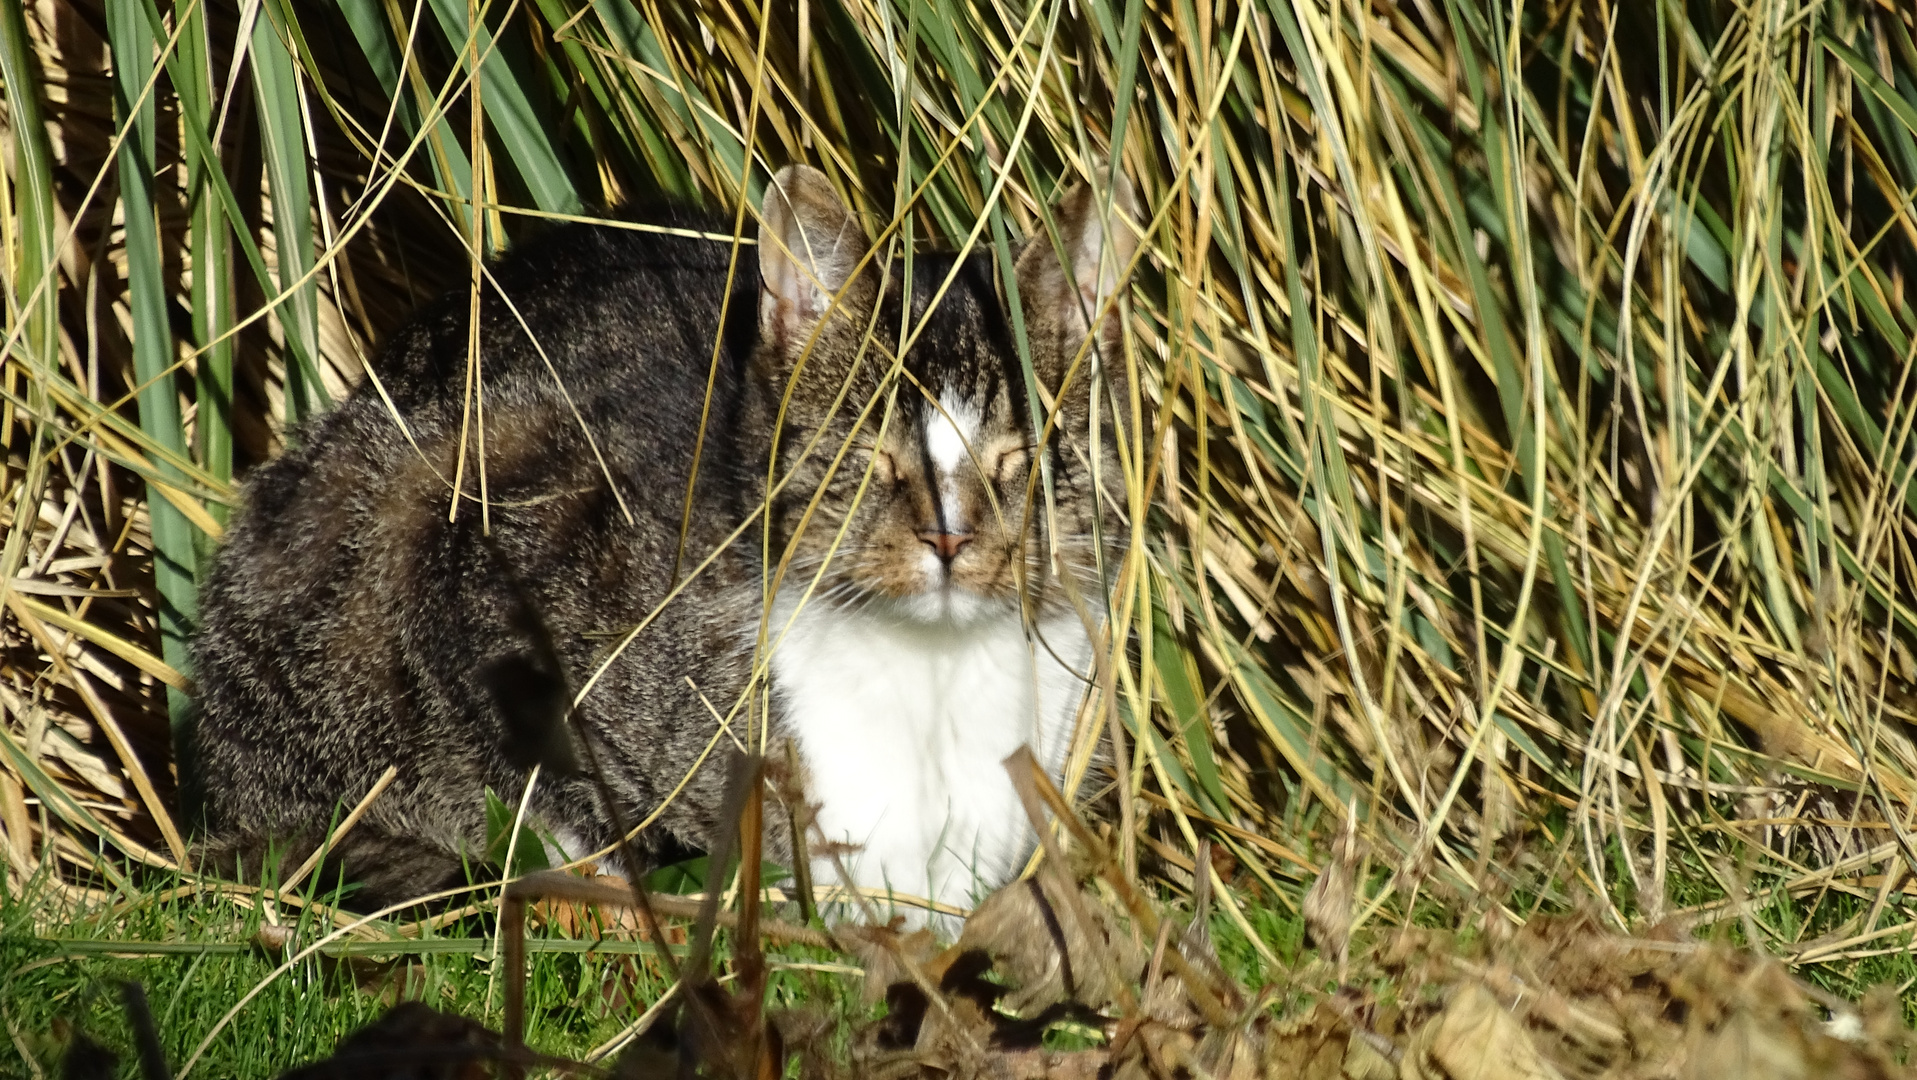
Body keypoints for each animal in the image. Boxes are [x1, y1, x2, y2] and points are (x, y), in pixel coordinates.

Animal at [190, 163, 1134, 920]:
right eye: (870, 456)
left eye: (1020, 460)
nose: (948, 536)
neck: (930, 673)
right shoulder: (470, 548)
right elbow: (558, 801)